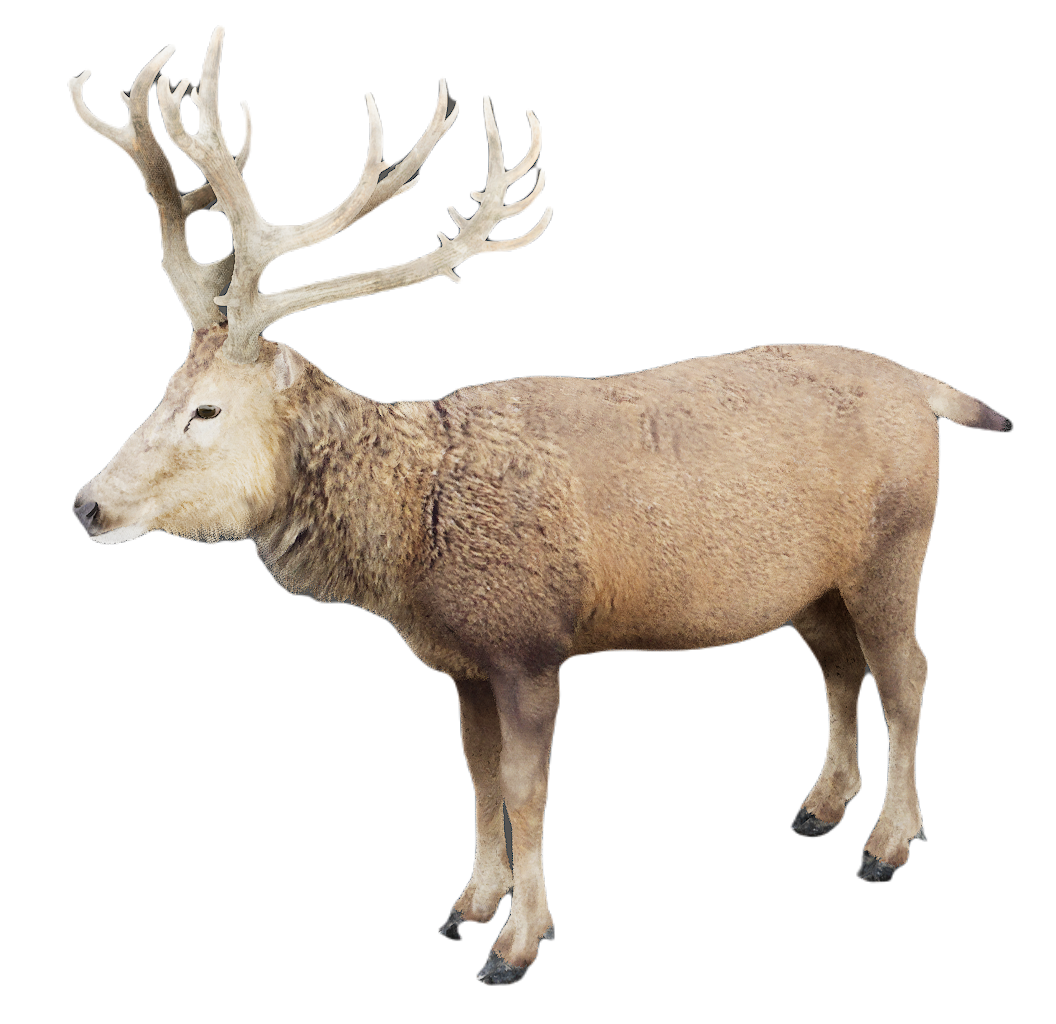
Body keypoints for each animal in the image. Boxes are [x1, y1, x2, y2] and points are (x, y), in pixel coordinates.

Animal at [69, 26, 1011, 986]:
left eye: (205, 411)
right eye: (162, 389)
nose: (88, 505)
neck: (414, 541)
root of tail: (923, 389)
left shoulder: (531, 641)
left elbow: (528, 791)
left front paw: (518, 942)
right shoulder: (461, 660)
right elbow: (478, 778)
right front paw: (468, 906)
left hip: (896, 545)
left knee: (908, 671)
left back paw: (889, 843)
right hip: (810, 585)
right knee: (838, 665)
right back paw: (822, 806)